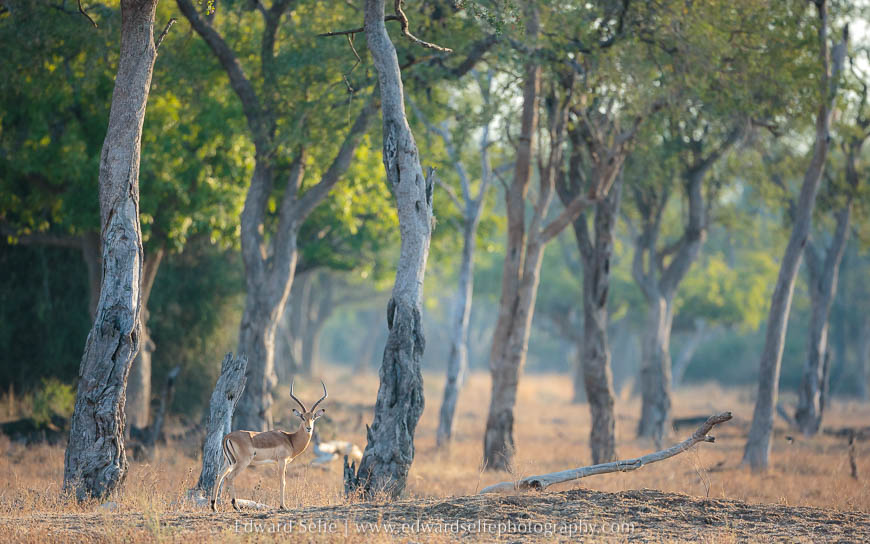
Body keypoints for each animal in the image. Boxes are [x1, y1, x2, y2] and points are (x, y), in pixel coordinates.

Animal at [211, 380, 327, 512]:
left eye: (313, 417)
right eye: (302, 417)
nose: (309, 428)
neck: (290, 439)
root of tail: (228, 436)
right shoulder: (282, 461)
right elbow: (282, 482)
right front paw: (283, 506)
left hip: (228, 461)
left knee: (218, 476)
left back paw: (214, 507)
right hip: (242, 462)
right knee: (230, 477)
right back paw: (236, 507)